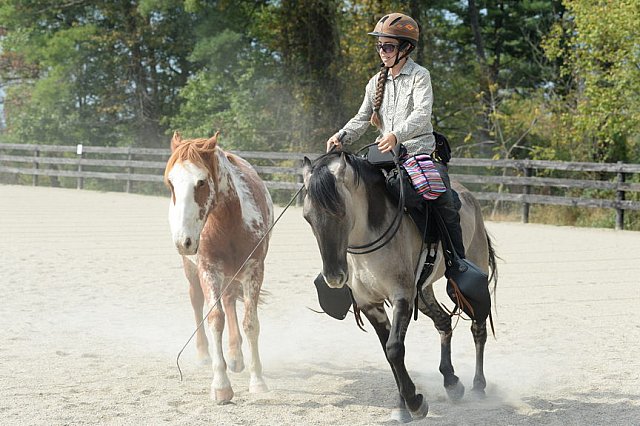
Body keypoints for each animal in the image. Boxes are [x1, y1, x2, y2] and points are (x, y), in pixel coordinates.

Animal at [162, 132, 272, 402]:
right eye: (171, 183)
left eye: (201, 182)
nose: (184, 241)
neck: (228, 223)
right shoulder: (208, 270)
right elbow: (215, 319)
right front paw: (221, 386)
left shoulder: (254, 271)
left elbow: (250, 322)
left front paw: (257, 380)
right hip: (192, 272)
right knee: (197, 303)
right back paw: (203, 353)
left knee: (231, 301)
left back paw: (235, 356)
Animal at [302, 151, 498, 422]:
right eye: (307, 218)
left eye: (340, 212)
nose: (333, 277)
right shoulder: (370, 304)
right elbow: (389, 352)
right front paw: (402, 406)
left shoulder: (401, 296)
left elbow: (395, 348)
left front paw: (415, 404)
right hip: (423, 292)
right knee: (443, 322)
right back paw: (451, 381)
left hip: (473, 270)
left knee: (478, 328)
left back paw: (478, 385)